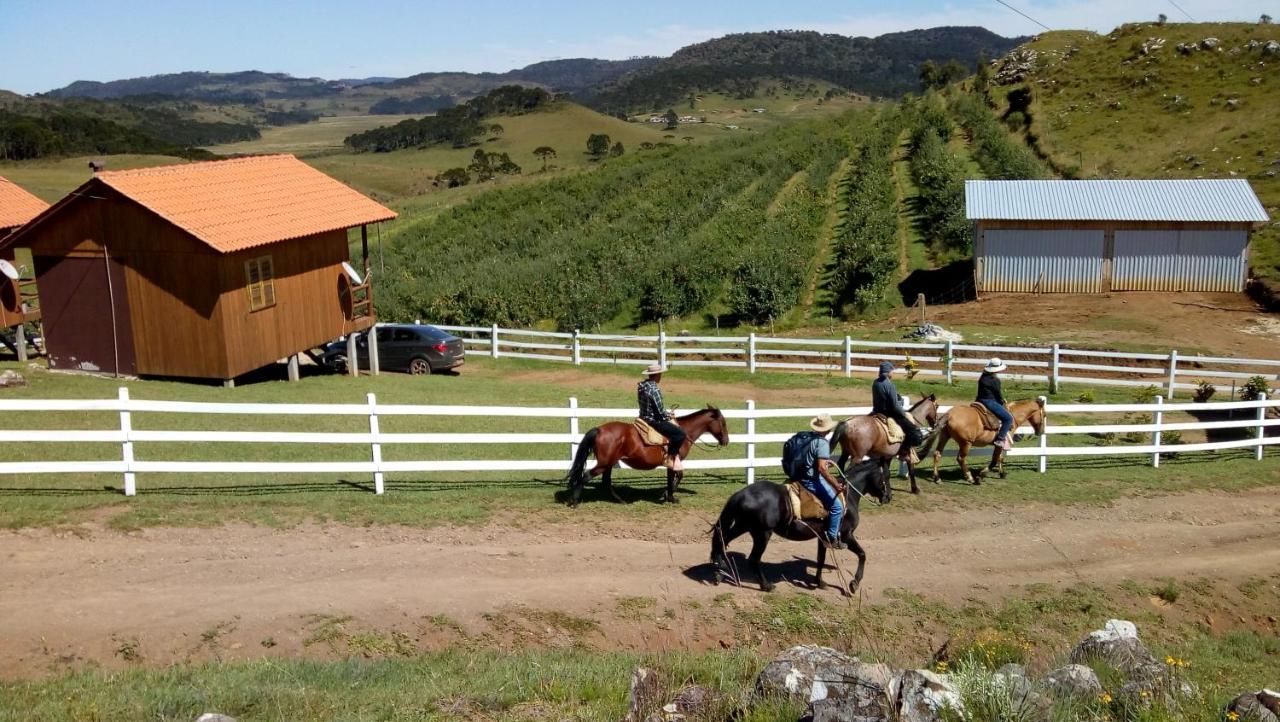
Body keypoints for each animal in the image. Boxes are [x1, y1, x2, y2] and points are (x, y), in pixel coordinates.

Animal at [570, 409, 732, 504]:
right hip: (604, 464)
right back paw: (574, 501)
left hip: (609, 463)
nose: (726, 441)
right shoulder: (675, 460)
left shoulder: (670, 463)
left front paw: (666, 495)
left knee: (605, 482)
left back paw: (620, 500)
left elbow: (671, 478)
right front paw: (670, 497)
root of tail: (599, 429)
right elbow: (678, 476)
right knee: (586, 476)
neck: (684, 432)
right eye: (723, 423)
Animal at [711, 460, 890, 593]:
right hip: (762, 534)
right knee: (753, 559)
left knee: (722, 540)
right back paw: (766, 586)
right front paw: (854, 584)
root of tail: (740, 494)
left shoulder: (823, 537)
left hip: (743, 526)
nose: (889, 497)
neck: (848, 496)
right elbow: (862, 554)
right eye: (886, 476)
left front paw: (820, 582)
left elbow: (820, 559)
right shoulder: (846, 535)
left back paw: (719, 571)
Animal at [921, 399, 1049, 483]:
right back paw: (970, 478)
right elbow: (994, 459)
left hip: (944, 437)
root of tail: (950, 415)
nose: (1041, 431)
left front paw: (1002, 473)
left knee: (937, 454)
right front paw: (981, 475)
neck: (1012, 416)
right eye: (1044, 415)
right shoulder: (1000, 443)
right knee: (960, 458)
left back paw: (937, 478)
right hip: (966, 443)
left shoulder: (1000, 444)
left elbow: (1000, 458)